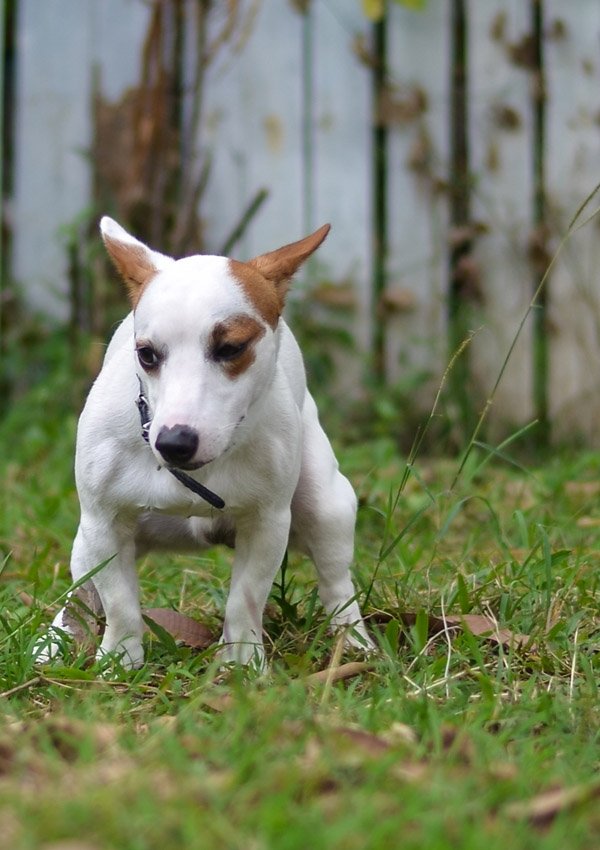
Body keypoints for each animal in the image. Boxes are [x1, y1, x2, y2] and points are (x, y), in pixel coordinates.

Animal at [37, 220, 372, 668]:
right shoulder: (103, 525)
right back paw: (56, 638)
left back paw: (352, 642)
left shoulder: (267, 524)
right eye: (146, 354)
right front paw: (121, 662)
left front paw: (242, 663)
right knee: (83, 592)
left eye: (231, 348)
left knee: (336, 581)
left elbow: (245, 599)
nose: (175, 442)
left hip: (326, 505)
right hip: (85, 543)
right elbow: (119, 603)